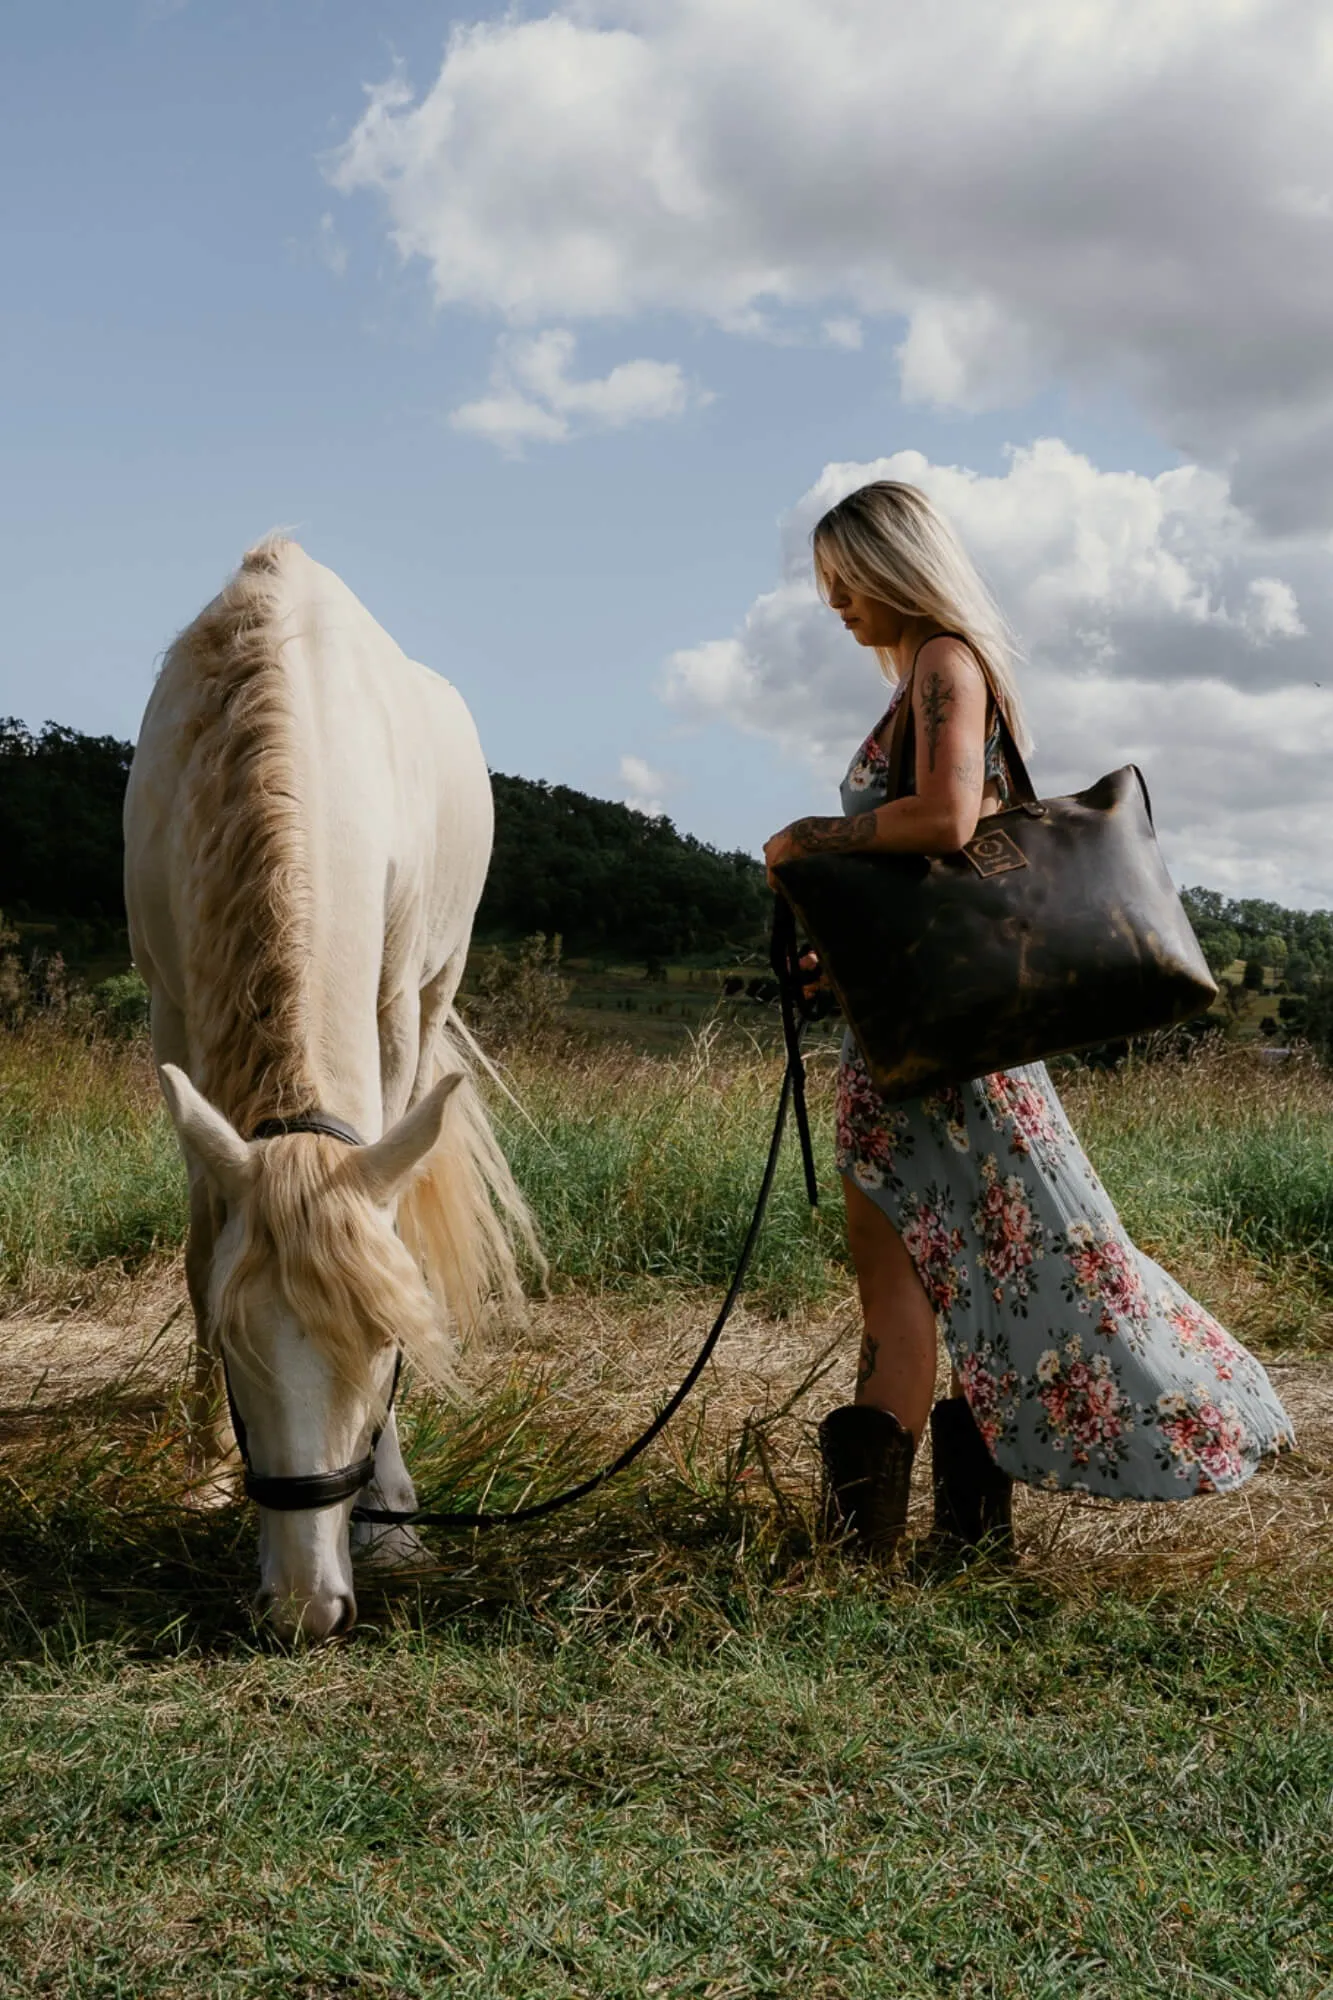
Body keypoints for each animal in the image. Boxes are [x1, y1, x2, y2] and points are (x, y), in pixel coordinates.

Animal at [123, 536, 528, 1640]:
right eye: (232, 1343)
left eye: (388, 1349)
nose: (306, 1607)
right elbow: (199, 1238)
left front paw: (390, 1513)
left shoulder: (388, 1007)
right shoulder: (170, 1004)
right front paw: (208, 1468)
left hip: (434, 992)